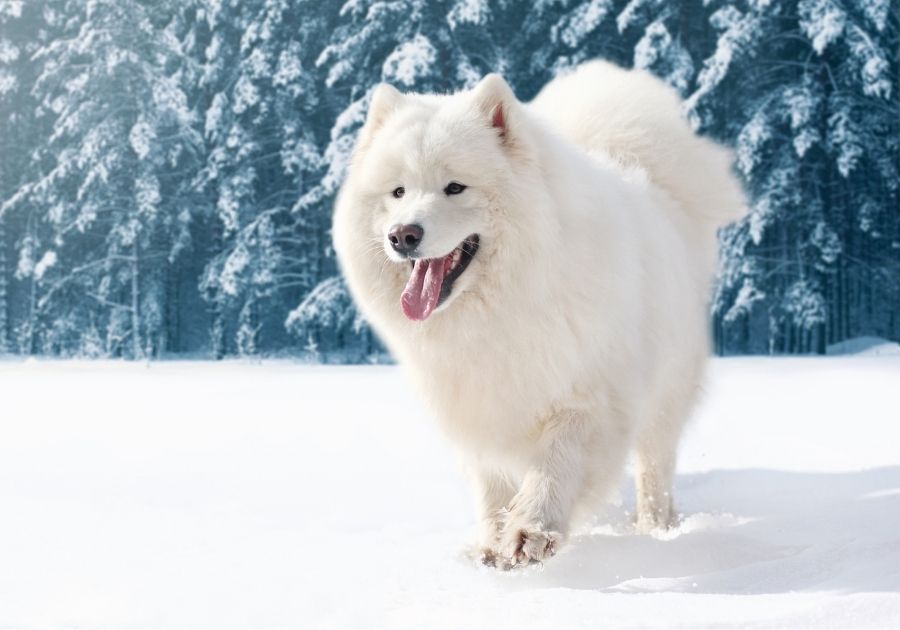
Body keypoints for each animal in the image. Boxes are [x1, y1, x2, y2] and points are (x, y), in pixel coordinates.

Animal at [330, 60, 744, 572]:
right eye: (398, 191)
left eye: (455, 187)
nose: (403, 235)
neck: (505, 309)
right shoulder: (478, 405)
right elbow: (491, 484)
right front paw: (492, 545)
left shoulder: (590, 397)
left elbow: (557, 461)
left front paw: (532, 531)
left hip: (666, 392)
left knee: (655, 468)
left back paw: (656, 528)